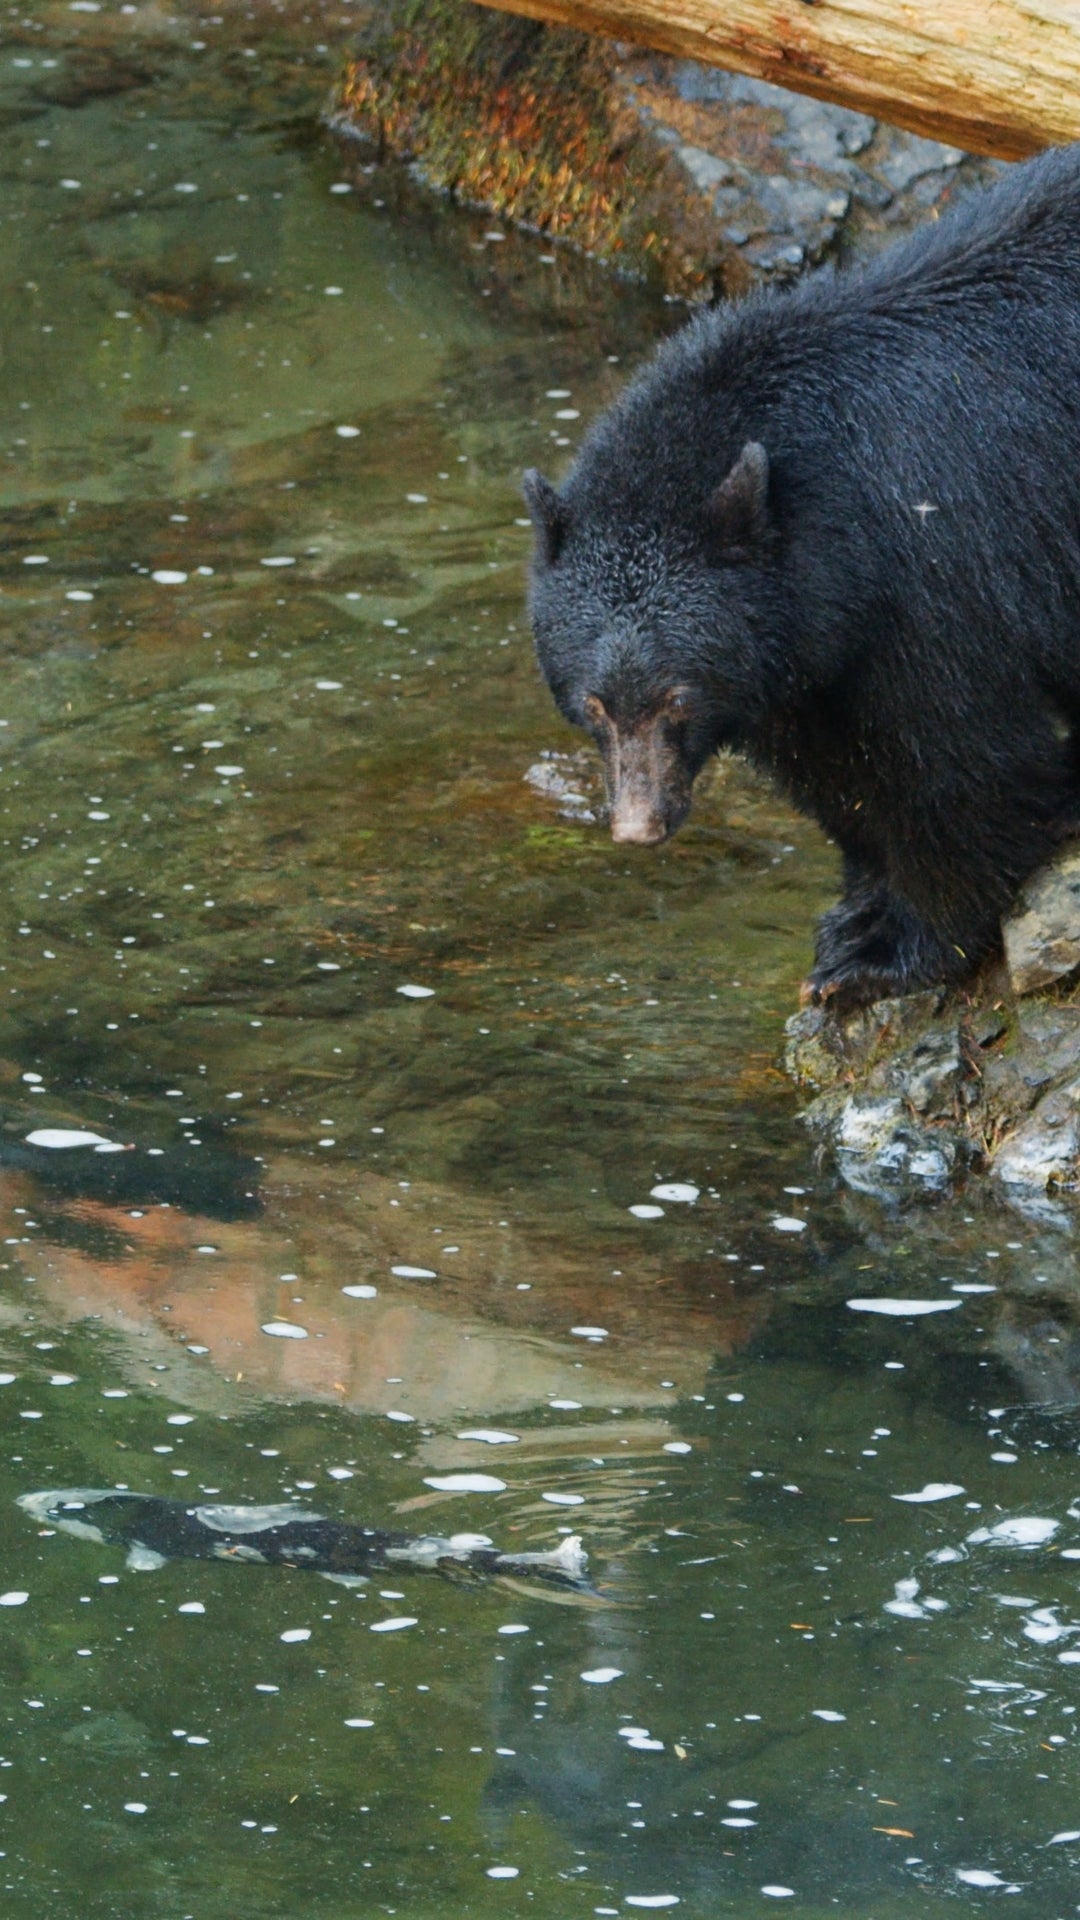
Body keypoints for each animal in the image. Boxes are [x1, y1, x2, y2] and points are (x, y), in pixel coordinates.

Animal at [522, 149, 1080, 1006]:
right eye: (593, 705)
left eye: (674, 698)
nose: (637, 827)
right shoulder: (797, 648)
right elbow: (839, 770)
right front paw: (858, 912)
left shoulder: (937, 569)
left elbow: (961, 763)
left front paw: (891, 952)